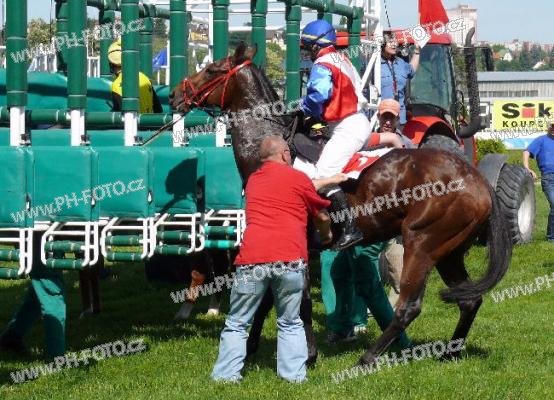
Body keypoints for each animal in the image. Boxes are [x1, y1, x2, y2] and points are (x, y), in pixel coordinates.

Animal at [169, 42, 512, 367]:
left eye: (211, 69)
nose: (174, 95)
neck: (270, 152)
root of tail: (476, 178)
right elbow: (268, 298)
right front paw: (252, 347)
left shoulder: (297, 244)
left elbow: (300, 301)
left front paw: (307, 354)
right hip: (448, 252)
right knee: (469, 300)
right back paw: (450, 351)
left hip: (422, 244)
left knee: (409, 307)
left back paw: (369, 357)